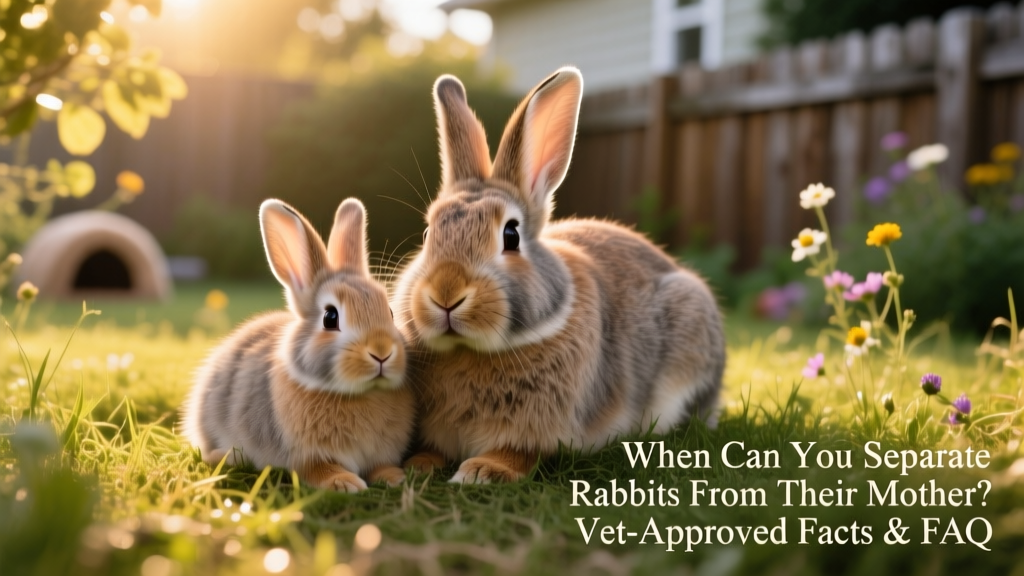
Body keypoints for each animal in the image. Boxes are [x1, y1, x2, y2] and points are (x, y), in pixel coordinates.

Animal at [182, 198, 414, 492]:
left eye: (391, 313)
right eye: (330, 317)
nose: (382, 352)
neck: (359, 394)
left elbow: (379, 466)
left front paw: (394, 477)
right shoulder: (307, 456)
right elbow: (319, 469)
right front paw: (345, 483)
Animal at [393, 66, 726, 484]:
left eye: (511, 235)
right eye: (427, 235)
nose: (446, 294)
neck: (472, 351)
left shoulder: (540, 431)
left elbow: (519, 453)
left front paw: (481, 471)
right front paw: (418, 466)